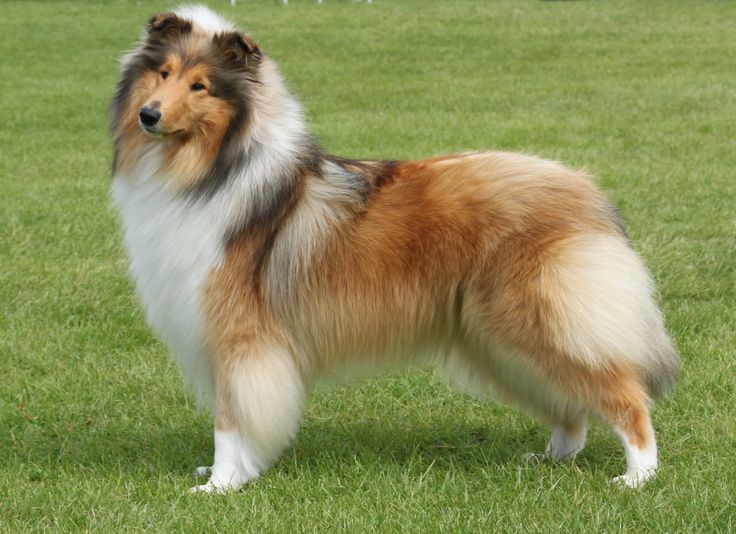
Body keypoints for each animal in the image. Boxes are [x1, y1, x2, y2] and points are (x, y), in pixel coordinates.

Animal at [109, 6, 680, 496]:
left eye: (200, 86)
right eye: (162, 73)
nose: (148, 116)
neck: (210, 169)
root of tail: (585, 189)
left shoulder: (238, 336)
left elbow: (229, 421)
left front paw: (221, 484)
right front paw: (231, 473)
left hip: (536, 321)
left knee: (627, 396)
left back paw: (639, 476)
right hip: (498, 338)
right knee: (570, 404)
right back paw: (554, 458)